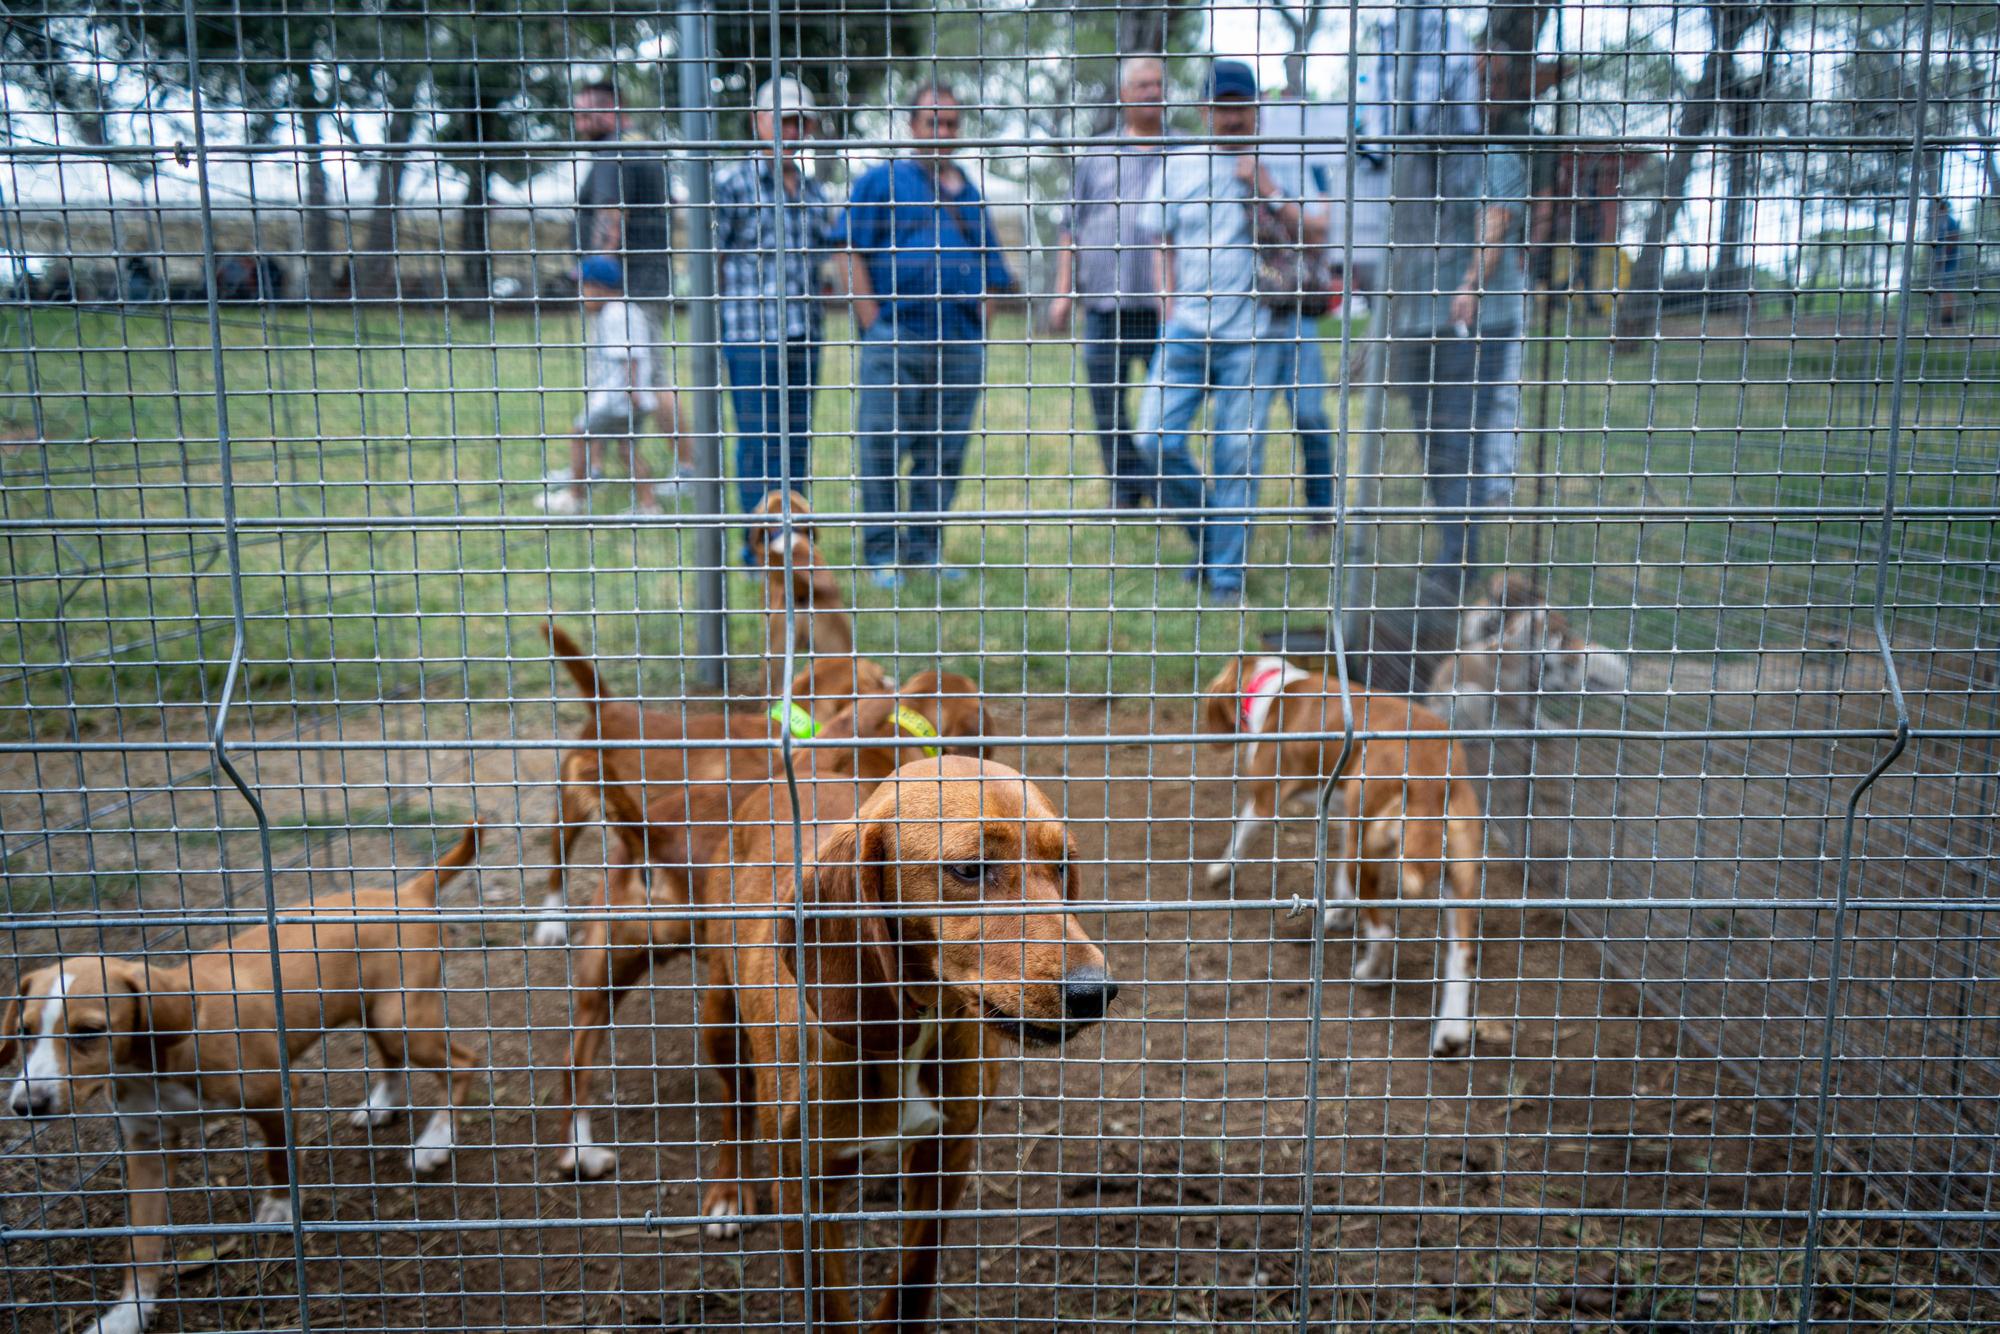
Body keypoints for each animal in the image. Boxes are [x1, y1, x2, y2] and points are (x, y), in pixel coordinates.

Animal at [0, 824, 484, 1334]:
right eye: (24, 1032)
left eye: (89, 1032)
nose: (26, 1106)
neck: (157, 1060)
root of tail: (404, 891)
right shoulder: (148, 1146)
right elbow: (142, 1242)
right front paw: (127, 1313)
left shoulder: (275, 1096)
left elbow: (278, 1158)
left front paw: (280, 1208)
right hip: (378, 1013)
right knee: (392, 1059)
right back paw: (381, 1105)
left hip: (402, 1018)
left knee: (464, 1062)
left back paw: (435, 1142)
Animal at [696, 756, 1120, 1328]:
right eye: (970, 870)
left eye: (1061, 866)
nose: (1095, 992)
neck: (915, 1026)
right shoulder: (804, 1193)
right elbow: (827, 1306)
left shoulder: (948, 1157)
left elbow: (916, 1270)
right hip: (720, 1019)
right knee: (733, 1106)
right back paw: (728, 1190)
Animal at [1200, 656, 1488, 1056]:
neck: (1275, 685)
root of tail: (1430, 773)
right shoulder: (1340, 818)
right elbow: (1335, 879)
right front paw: (1337, 914)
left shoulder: (1266, 799)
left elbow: (1240, 838)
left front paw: (1220, 870)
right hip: (1454, 877)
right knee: (1460, 955)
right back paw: (1451, 1031)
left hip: (1366, 851)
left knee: (1383, 932)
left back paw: (1371, 974)